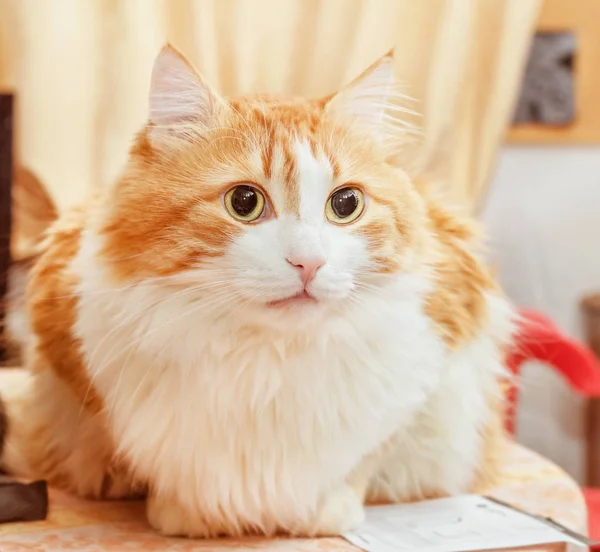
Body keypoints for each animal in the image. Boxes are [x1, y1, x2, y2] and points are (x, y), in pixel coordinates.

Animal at [0, 45, 516, 536]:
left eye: (345, 204)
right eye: (244, 202)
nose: (309, 262)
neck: (269, 361)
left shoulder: (437, 356)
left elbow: (363, 458)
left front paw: (327, 513)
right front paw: (184, 513)